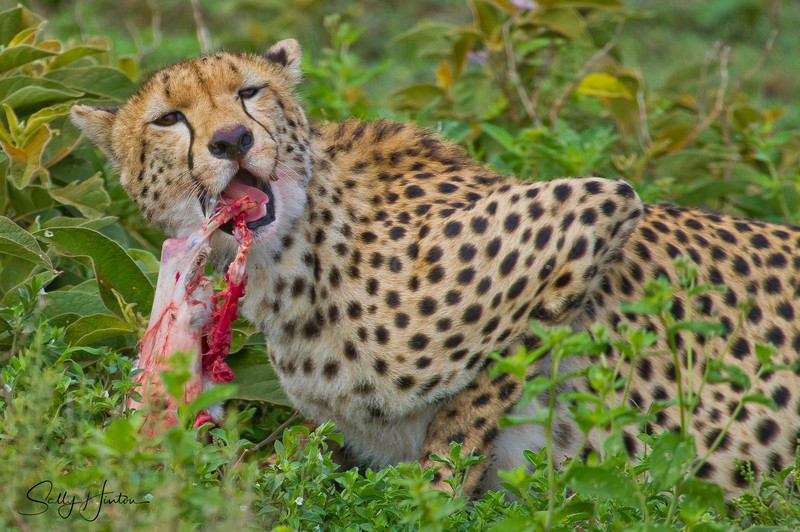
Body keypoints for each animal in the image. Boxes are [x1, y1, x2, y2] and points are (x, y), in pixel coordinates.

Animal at [71, 39, 800, 496]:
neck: (296, 249)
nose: (232, 139)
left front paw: (439, 494)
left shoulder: (595, 207)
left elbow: (471, 409)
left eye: (250, 93)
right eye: (169, 119)